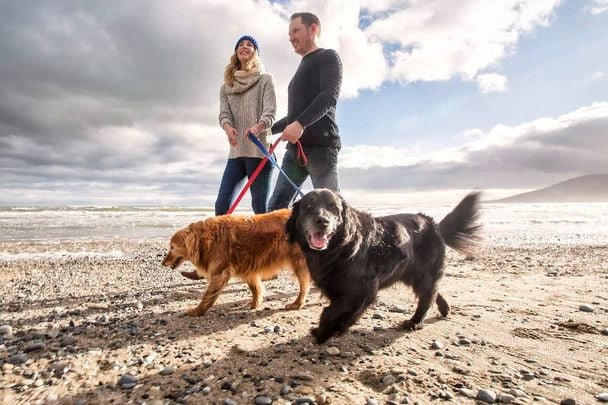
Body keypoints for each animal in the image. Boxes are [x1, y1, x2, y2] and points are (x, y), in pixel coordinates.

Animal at [288, 189, 482, 340]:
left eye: (333, 207)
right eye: (308, 206)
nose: (322, 221)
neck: (340, 247)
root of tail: (432, 223)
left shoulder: (362, 289)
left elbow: (332, 312)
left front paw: (324, 332)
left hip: (423, 274)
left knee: (427, 296)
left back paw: (415, 321)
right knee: (434, 291)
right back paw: (444, 309)